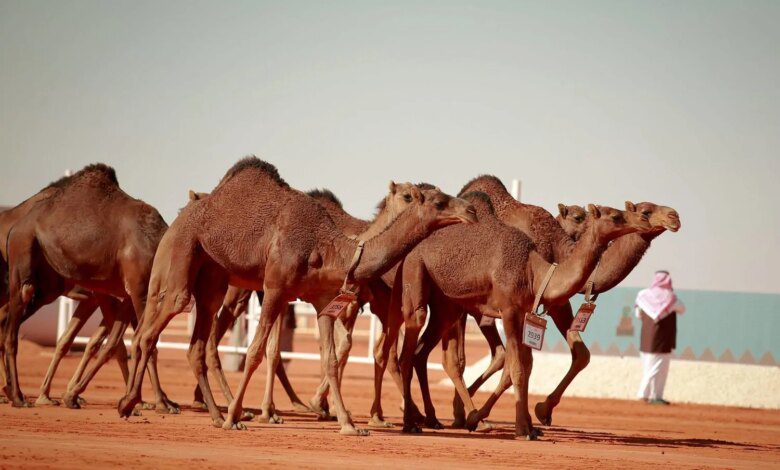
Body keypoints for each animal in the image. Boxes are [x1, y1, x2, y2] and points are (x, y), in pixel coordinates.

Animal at [1, 163, 177, 414]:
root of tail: (15, 225)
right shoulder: (139, 290)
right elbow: (145, 344)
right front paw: (160, 403)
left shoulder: (127, 296)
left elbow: (116, 343)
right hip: (23, 250)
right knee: (13, 324)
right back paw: (18, 396)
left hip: (48, 285)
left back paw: (16, 391)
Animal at [117, 158, 476, 436]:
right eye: (438, 202)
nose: (471, 210)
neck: (331, 247)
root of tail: (183, 210)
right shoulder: (276, 288)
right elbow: (256, 351)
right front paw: (238, 418)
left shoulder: (324, 301)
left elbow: (330, 359)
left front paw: (348, 424)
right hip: (180, 253)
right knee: (153, 329)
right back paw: (135, 404)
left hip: (213, 279)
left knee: (195, 345)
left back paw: (213, 414)